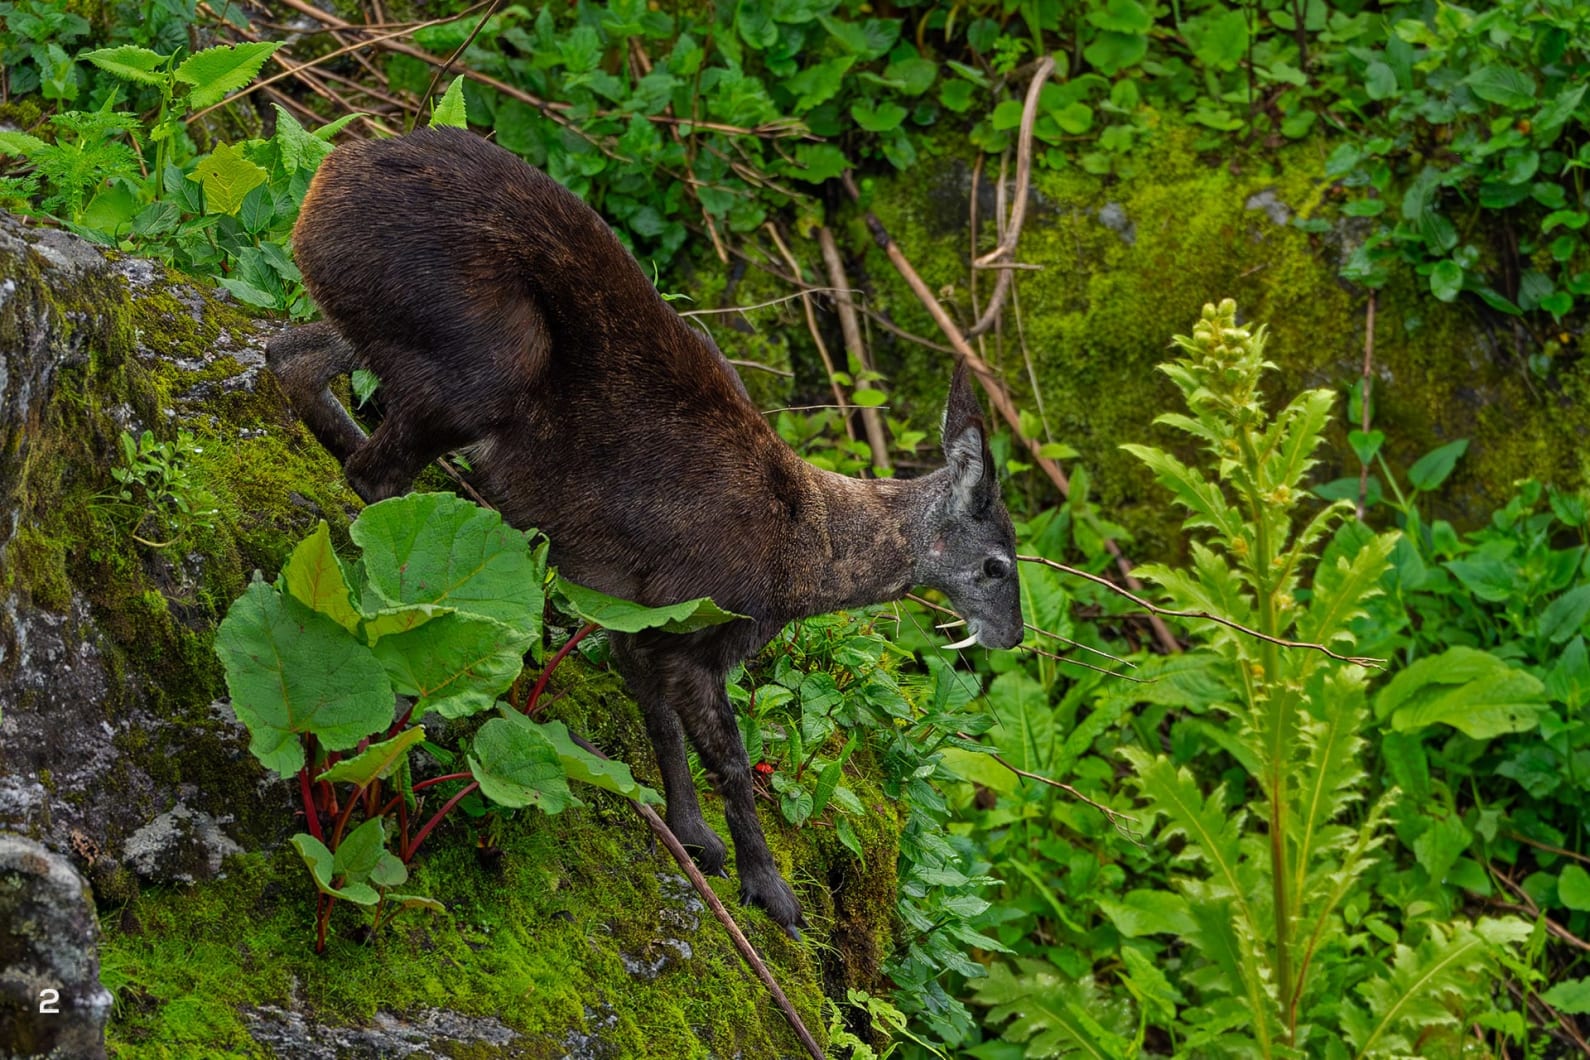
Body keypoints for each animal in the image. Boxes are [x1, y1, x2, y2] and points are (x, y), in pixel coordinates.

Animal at [266, 127, 1023, 935]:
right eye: (998, 565)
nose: (1013, 637)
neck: (806, 554)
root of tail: (326, 178)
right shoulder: (697, 619)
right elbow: (728, 757)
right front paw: (770, 888)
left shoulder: (637, 614)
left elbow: (658, 718)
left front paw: (693, 837)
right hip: (485, 355)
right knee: (373, 471)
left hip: (381, 326)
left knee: (291, 359)